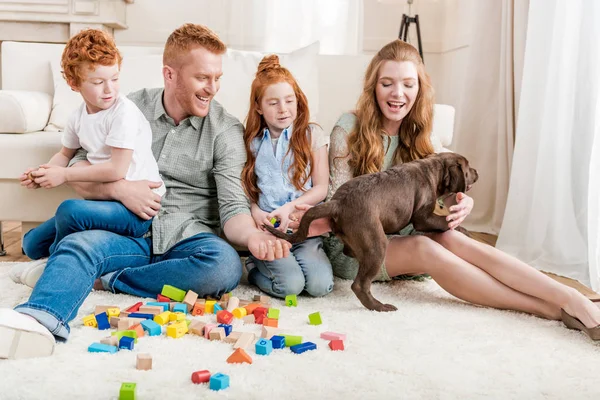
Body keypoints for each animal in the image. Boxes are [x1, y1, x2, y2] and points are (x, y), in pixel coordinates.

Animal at [264, 152, 480, 310]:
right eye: (468, 168)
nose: (477, 172)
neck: (432, 170)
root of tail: (337, 203)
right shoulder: (422, 217)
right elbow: (444, 222)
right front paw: (462, 228)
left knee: (351, 253)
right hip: (377, 244)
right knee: (360, 284)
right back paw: (380, 307)